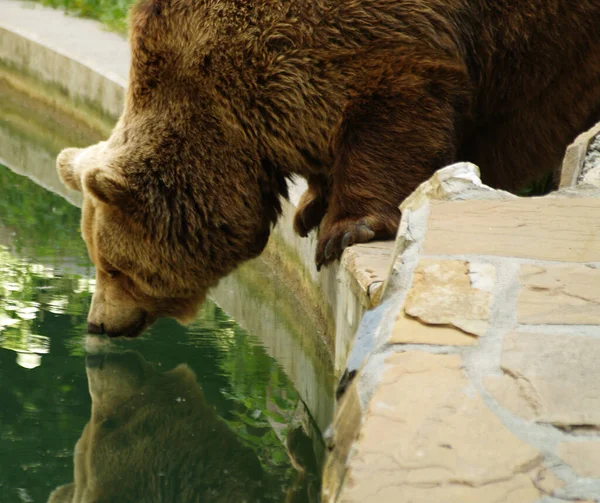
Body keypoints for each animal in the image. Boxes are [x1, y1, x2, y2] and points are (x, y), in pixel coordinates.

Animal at [57, 0, 600, 338]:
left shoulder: (369, 41)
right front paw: (310, 209)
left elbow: (391, 113)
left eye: (113, 267)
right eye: (100, 261)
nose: (97, 323)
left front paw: (348, 228)